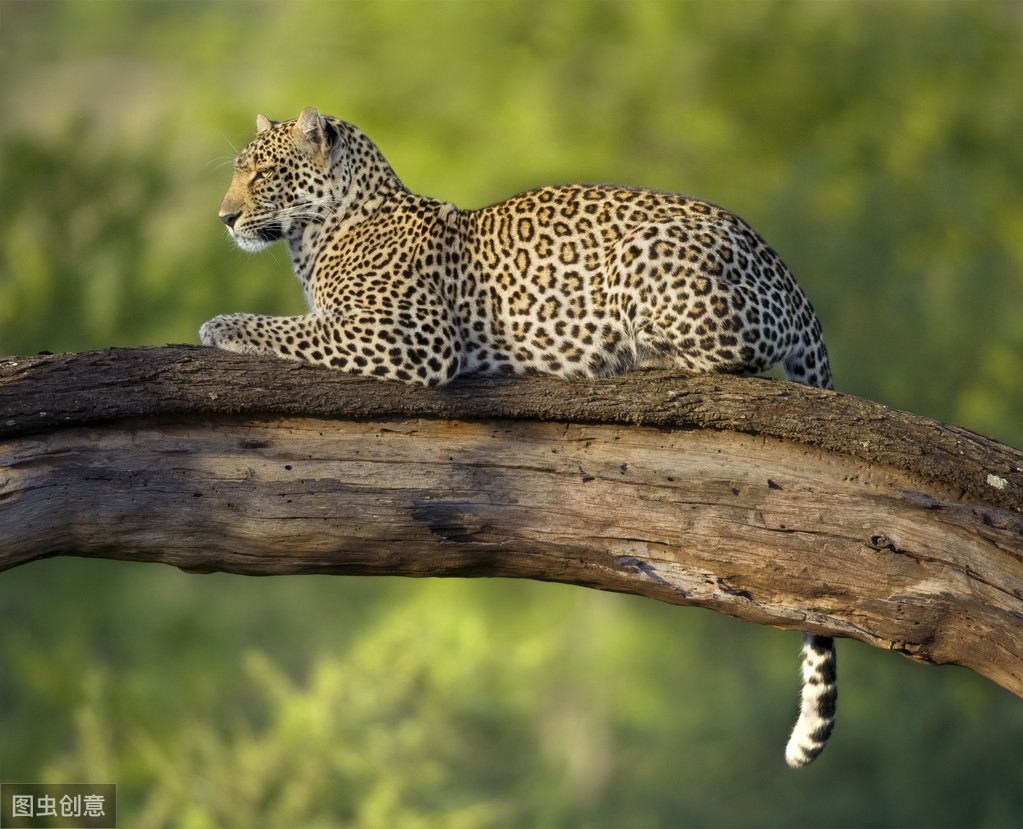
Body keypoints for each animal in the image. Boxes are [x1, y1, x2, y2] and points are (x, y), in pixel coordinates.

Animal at [201, 106, 838, 765]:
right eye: (238, 171)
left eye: (262, 174)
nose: (224, 218)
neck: (320, 235)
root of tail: (787, 274)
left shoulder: (411, 336)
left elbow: (293, 329)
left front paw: (221, 325)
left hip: (652, 254)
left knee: (725, 358)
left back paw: (627, 359)